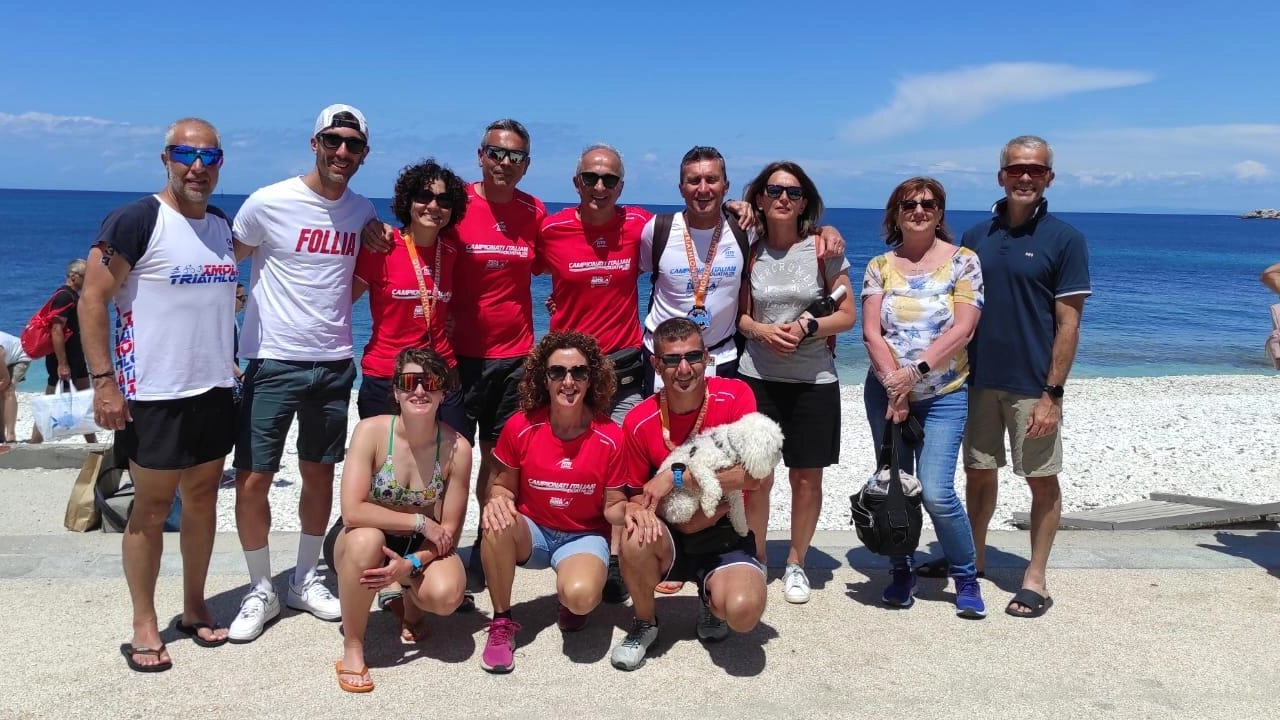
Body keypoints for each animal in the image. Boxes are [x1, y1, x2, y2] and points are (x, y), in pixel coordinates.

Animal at [655, 409, 783, 532]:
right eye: (776, 448)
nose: (780, 456)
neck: (727, 445)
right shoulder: (698, 463)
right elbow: (712, 486)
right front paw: (709, 506)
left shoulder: (733, 486)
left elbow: (738, 507)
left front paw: (742, 528)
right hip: (681, 505)